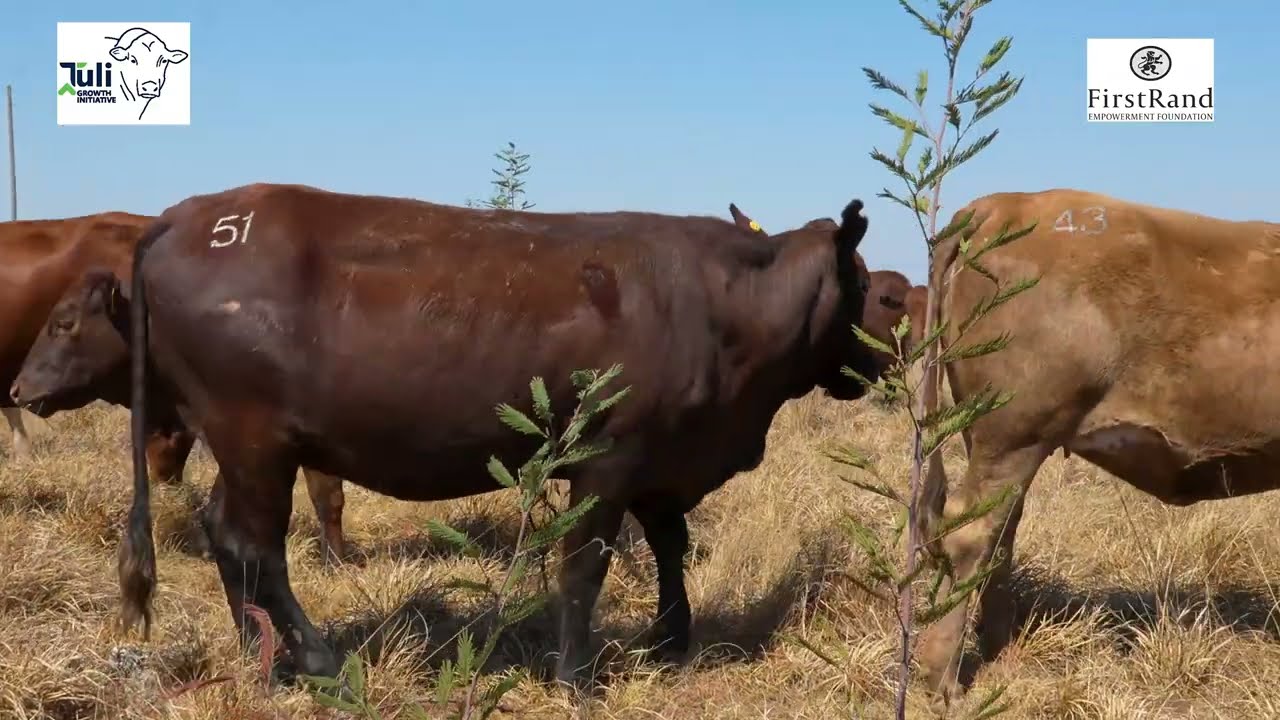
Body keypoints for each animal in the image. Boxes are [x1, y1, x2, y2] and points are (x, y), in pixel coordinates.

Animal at [914, 188, 1280, 709]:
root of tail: (1006, 202)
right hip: (1012, 435)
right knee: (972, 532)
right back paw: (944, 678)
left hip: (995, 441)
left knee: (1001, 533)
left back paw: (1001, 647)